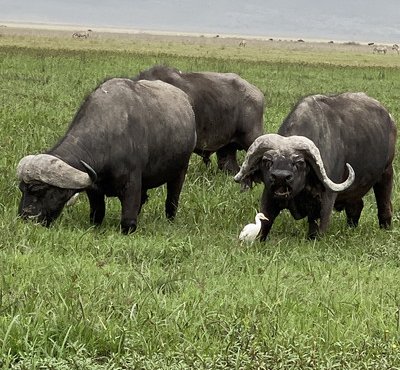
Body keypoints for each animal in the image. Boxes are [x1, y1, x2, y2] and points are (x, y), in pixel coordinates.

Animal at [17, 79, 197, 234]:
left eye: (40, 190)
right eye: (22, 189)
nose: (25, 217)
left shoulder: (131, 184)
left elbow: (128, 220)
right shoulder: (94, 189)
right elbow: (97, 214)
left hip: (180, 171)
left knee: (172, 200)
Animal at [234, 92, 396, 240]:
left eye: (299, 162)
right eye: (267, 160)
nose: (280, 177)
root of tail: (390, 118)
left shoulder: (326, 199)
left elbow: (317, 229)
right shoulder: (269, 195)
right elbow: (264, 223)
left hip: (386, 172)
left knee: (384, 204)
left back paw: (385, 227)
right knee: (356, 206)